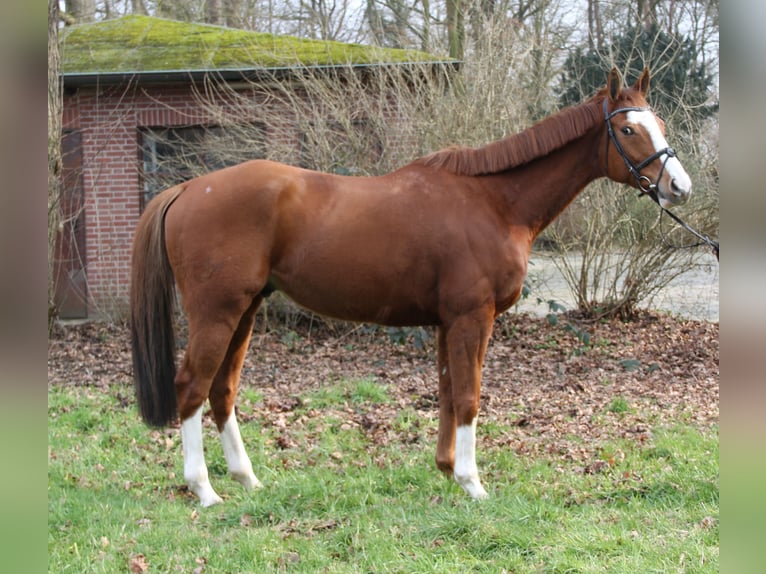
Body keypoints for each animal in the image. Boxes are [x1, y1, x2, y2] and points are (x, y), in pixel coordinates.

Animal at [129, 68, 692, 508]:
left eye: (659, 124)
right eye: (627, 128)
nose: (679, 187)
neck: (495, 203)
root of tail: (187, 188)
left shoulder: (448, 321)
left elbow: (446, 392)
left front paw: (448, 471)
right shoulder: (472, 316)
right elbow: (468, 396)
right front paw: (473, 483)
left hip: (244, 312)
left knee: (221, 390)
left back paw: (247, 479)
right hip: (217, 313)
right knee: (191, 387)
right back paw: (204, 490)